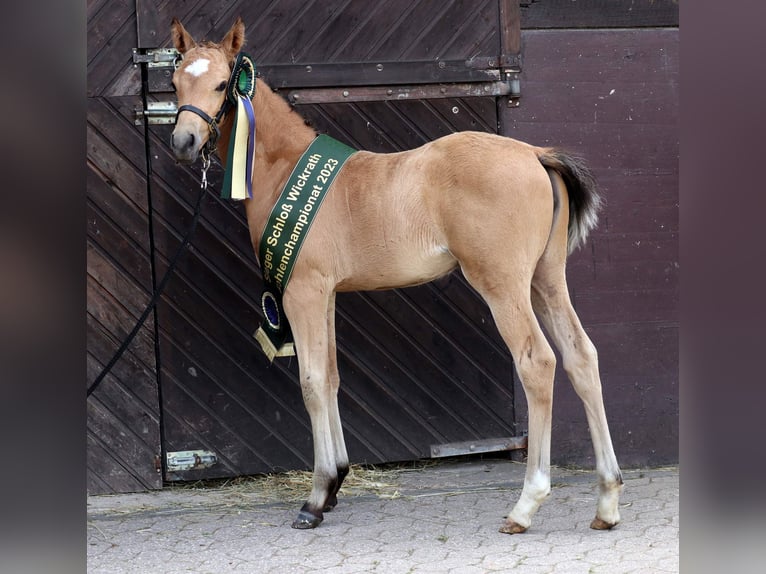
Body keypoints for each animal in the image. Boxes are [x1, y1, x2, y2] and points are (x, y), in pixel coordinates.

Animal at [170, 19, 624, 540]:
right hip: (546, 280)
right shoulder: (326, 295)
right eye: (175, 82)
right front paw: (334, 484)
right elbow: (332, 377)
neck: (285, 166)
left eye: (222, 85)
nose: (183, 143)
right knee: (581, 356)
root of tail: (535, 154)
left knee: (538, 362)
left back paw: (525, 505)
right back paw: (607, 501)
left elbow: (311, 381)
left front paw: (314, 499)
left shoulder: (304, 291)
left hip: (503, 284)